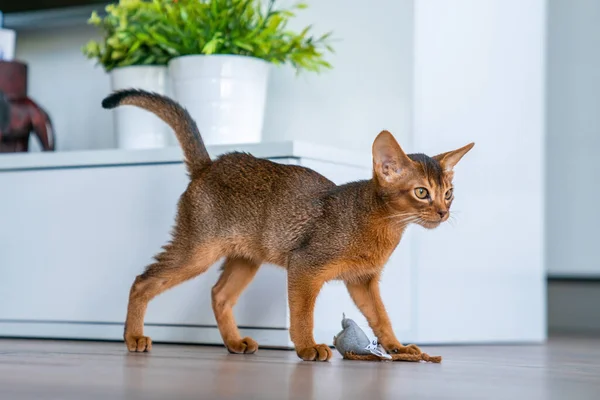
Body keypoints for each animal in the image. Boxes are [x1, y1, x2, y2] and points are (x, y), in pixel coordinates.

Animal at [102, 89, 474, 360]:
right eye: (422, 192)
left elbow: (381, 316)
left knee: (219, 294)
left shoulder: (362, 281)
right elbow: (302, 314)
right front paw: (307, 347)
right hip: (198, 250)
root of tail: (209, 165)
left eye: (449, 193)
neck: (380, 223)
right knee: (143, 281)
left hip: (246, 257)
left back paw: (234, 343)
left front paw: (397, 347)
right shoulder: (305, 267)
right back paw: (133, 336)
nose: (443, 212)